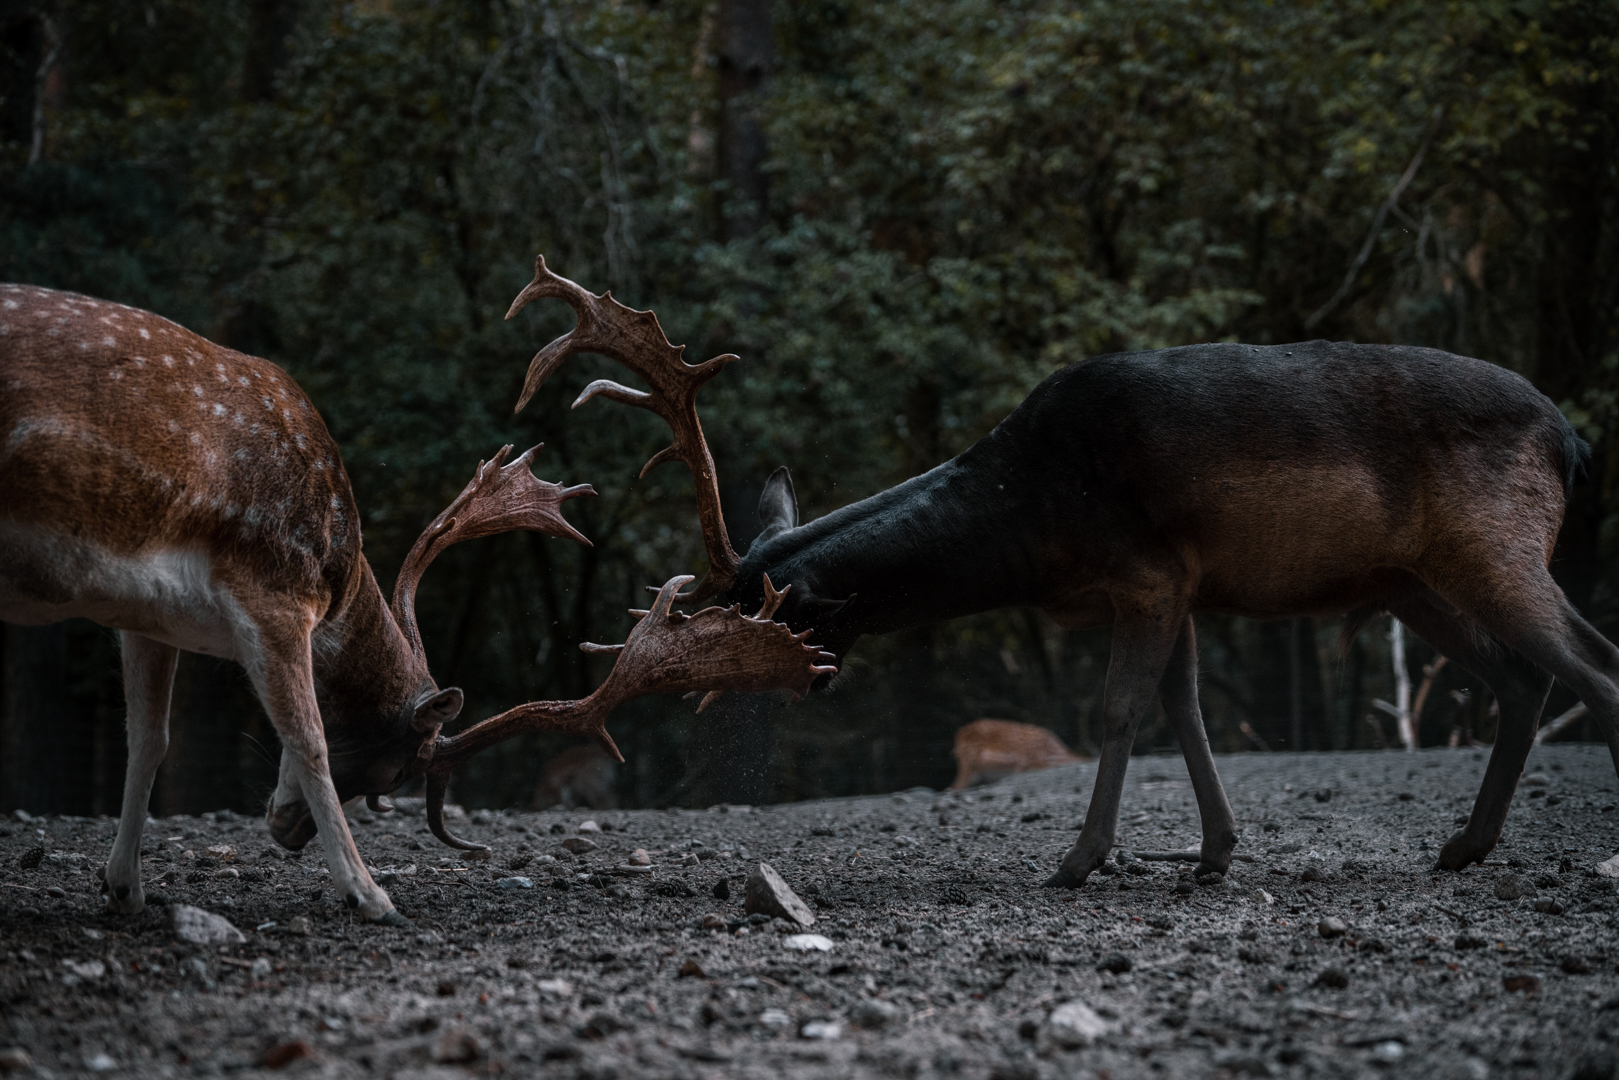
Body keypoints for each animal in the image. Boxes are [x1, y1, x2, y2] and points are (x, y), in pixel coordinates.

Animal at [0, 282, 836, 920]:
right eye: (396, 771)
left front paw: (123, 887)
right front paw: (369, 893)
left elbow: (150, 739)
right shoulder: (271, 591)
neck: (336, 576)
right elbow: (306, 738)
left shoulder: (145, 615)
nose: (286, 833)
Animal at [504, 255, 1619, 887]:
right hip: (1414, 581)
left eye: (755, 627)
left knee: (1592, 665)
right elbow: (1183, 708)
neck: (1032, 524)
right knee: (1524, 678)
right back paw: (1463, 845)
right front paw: (1211, 854)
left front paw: (1080, 861)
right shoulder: (1178, 588)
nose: (790, 696)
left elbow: (1120, 712)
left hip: (1494, 543)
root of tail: (1569, 440)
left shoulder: (1148, 574)